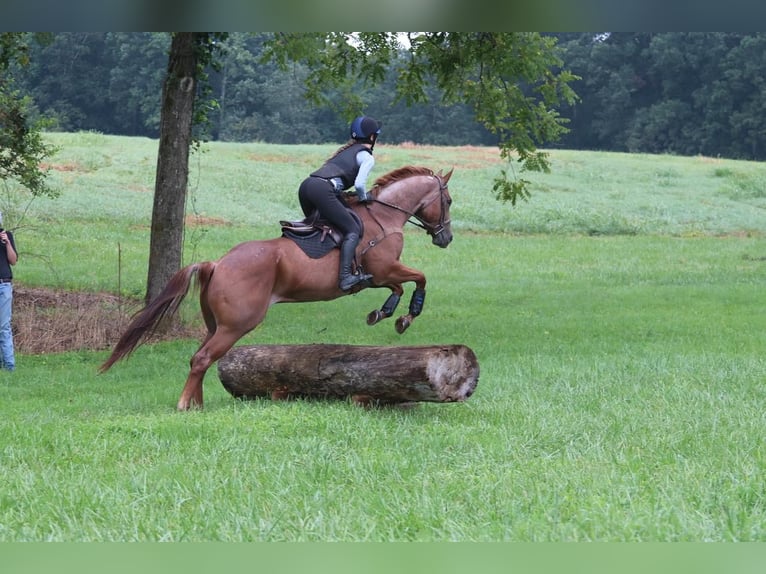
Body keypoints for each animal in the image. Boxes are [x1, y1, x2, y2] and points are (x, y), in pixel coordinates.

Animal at [100, 164, 456, 412]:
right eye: (449, 200)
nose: (446, 238)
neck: (384, 217)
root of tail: (217, 264)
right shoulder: (382, 270)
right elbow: (419, 278)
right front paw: (405, 316)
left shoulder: (382, 276)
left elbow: (400, 287)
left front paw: (384, 313)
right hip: (237, 324)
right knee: (202, 358)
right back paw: (185, 405)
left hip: (216, 324)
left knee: (198, 358)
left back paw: (196, 404)